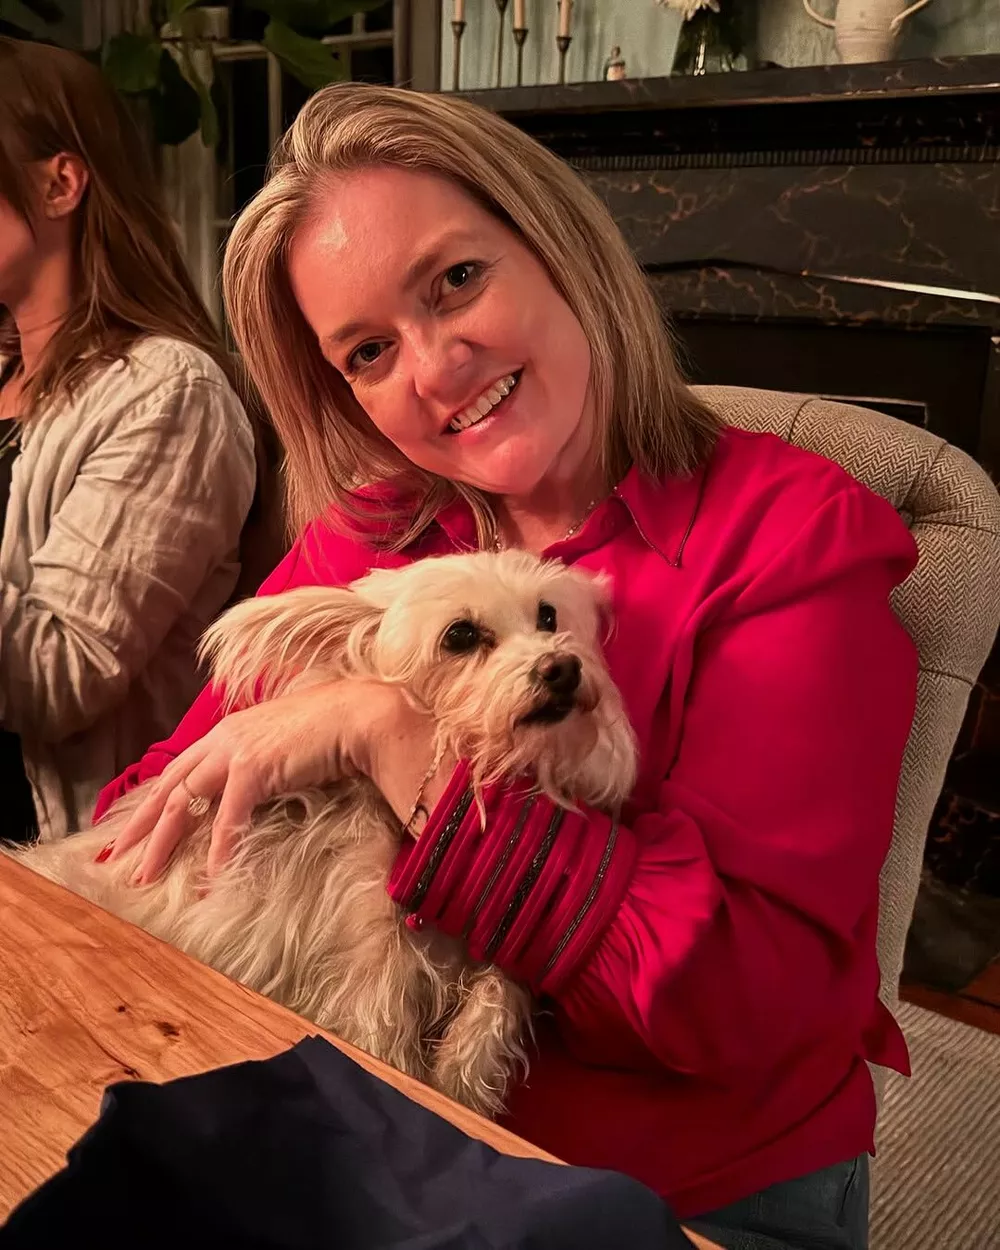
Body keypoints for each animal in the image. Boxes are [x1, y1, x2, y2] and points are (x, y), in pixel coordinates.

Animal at [8, 550, 638, 1116]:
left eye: (548, 616)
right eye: (459, 635)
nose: (562, 668)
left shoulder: (499, 924)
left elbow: (497, 997)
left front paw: (463, 1079)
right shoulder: (368, 971)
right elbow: (387, 1040)